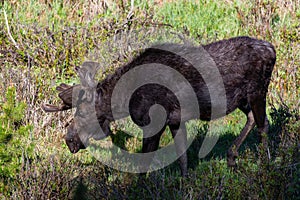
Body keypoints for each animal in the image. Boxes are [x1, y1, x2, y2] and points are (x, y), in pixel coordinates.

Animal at [42, 36, 276, 177]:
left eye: (82, 111)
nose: (69, 140)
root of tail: (272, 49)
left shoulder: (153, 122)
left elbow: (144, 164)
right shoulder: (175, 120)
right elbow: (182, 157)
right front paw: (185, 181)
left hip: (257, 91)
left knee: (264, 125)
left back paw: (265, 164)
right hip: (242, 99)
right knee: (254, 119)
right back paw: (232, 157)